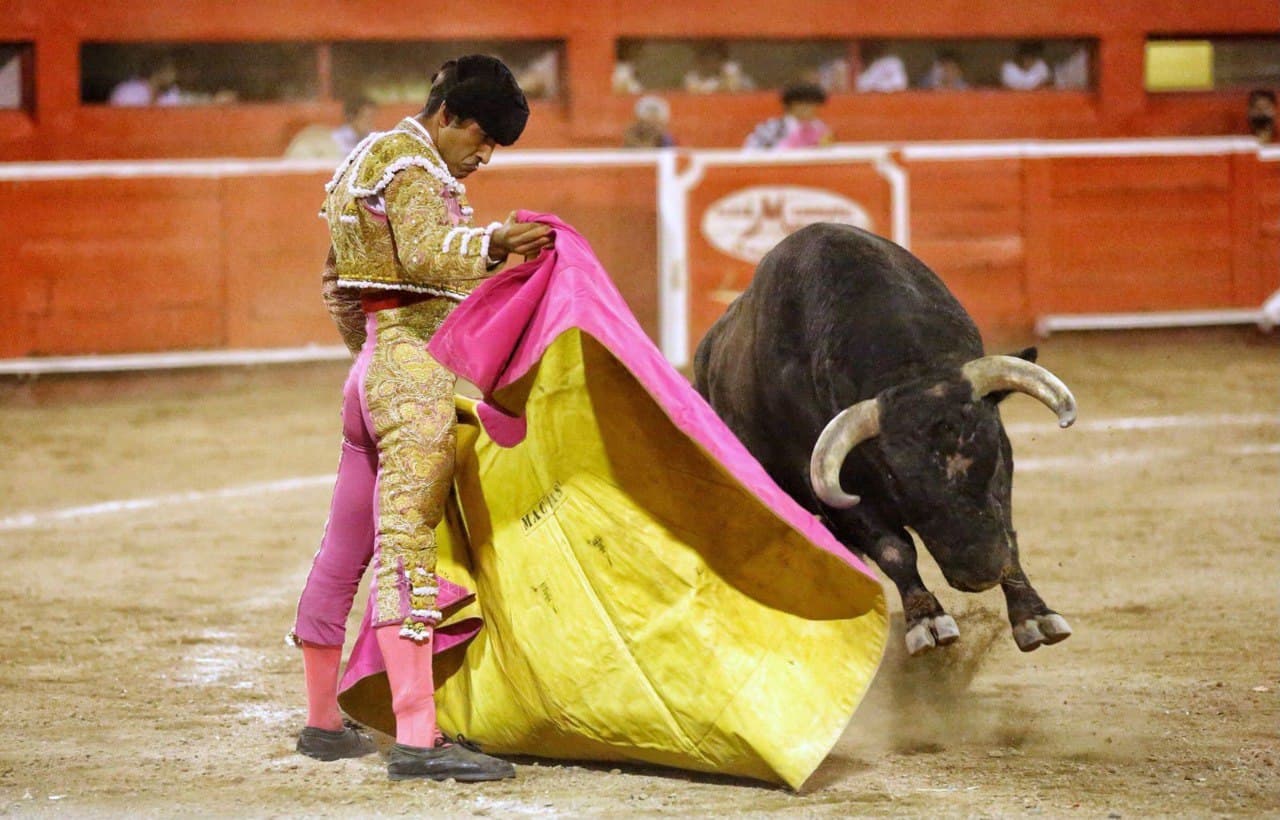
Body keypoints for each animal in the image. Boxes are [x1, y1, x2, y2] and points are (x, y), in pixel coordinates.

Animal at [696, 222, 1075, 652]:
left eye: (992, 452)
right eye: (895, 479)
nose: (981, 572)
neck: (909, 368)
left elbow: (1007, 531)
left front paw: (1035, 616)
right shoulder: (834, 489)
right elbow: (895, 550)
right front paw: (927, 621)